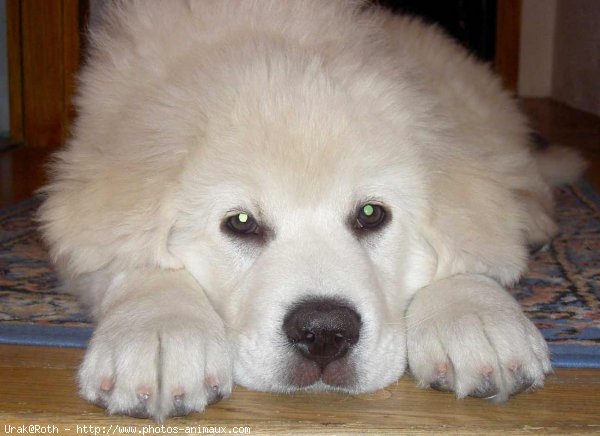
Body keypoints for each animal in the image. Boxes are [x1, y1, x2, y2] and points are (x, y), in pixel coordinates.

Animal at [37, 0, 580, 422]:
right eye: (240, 222)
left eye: (370, 213)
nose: (324, 333)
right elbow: (133, 259)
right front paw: (160, 330)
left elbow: (467, 248)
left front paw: (476, 317)